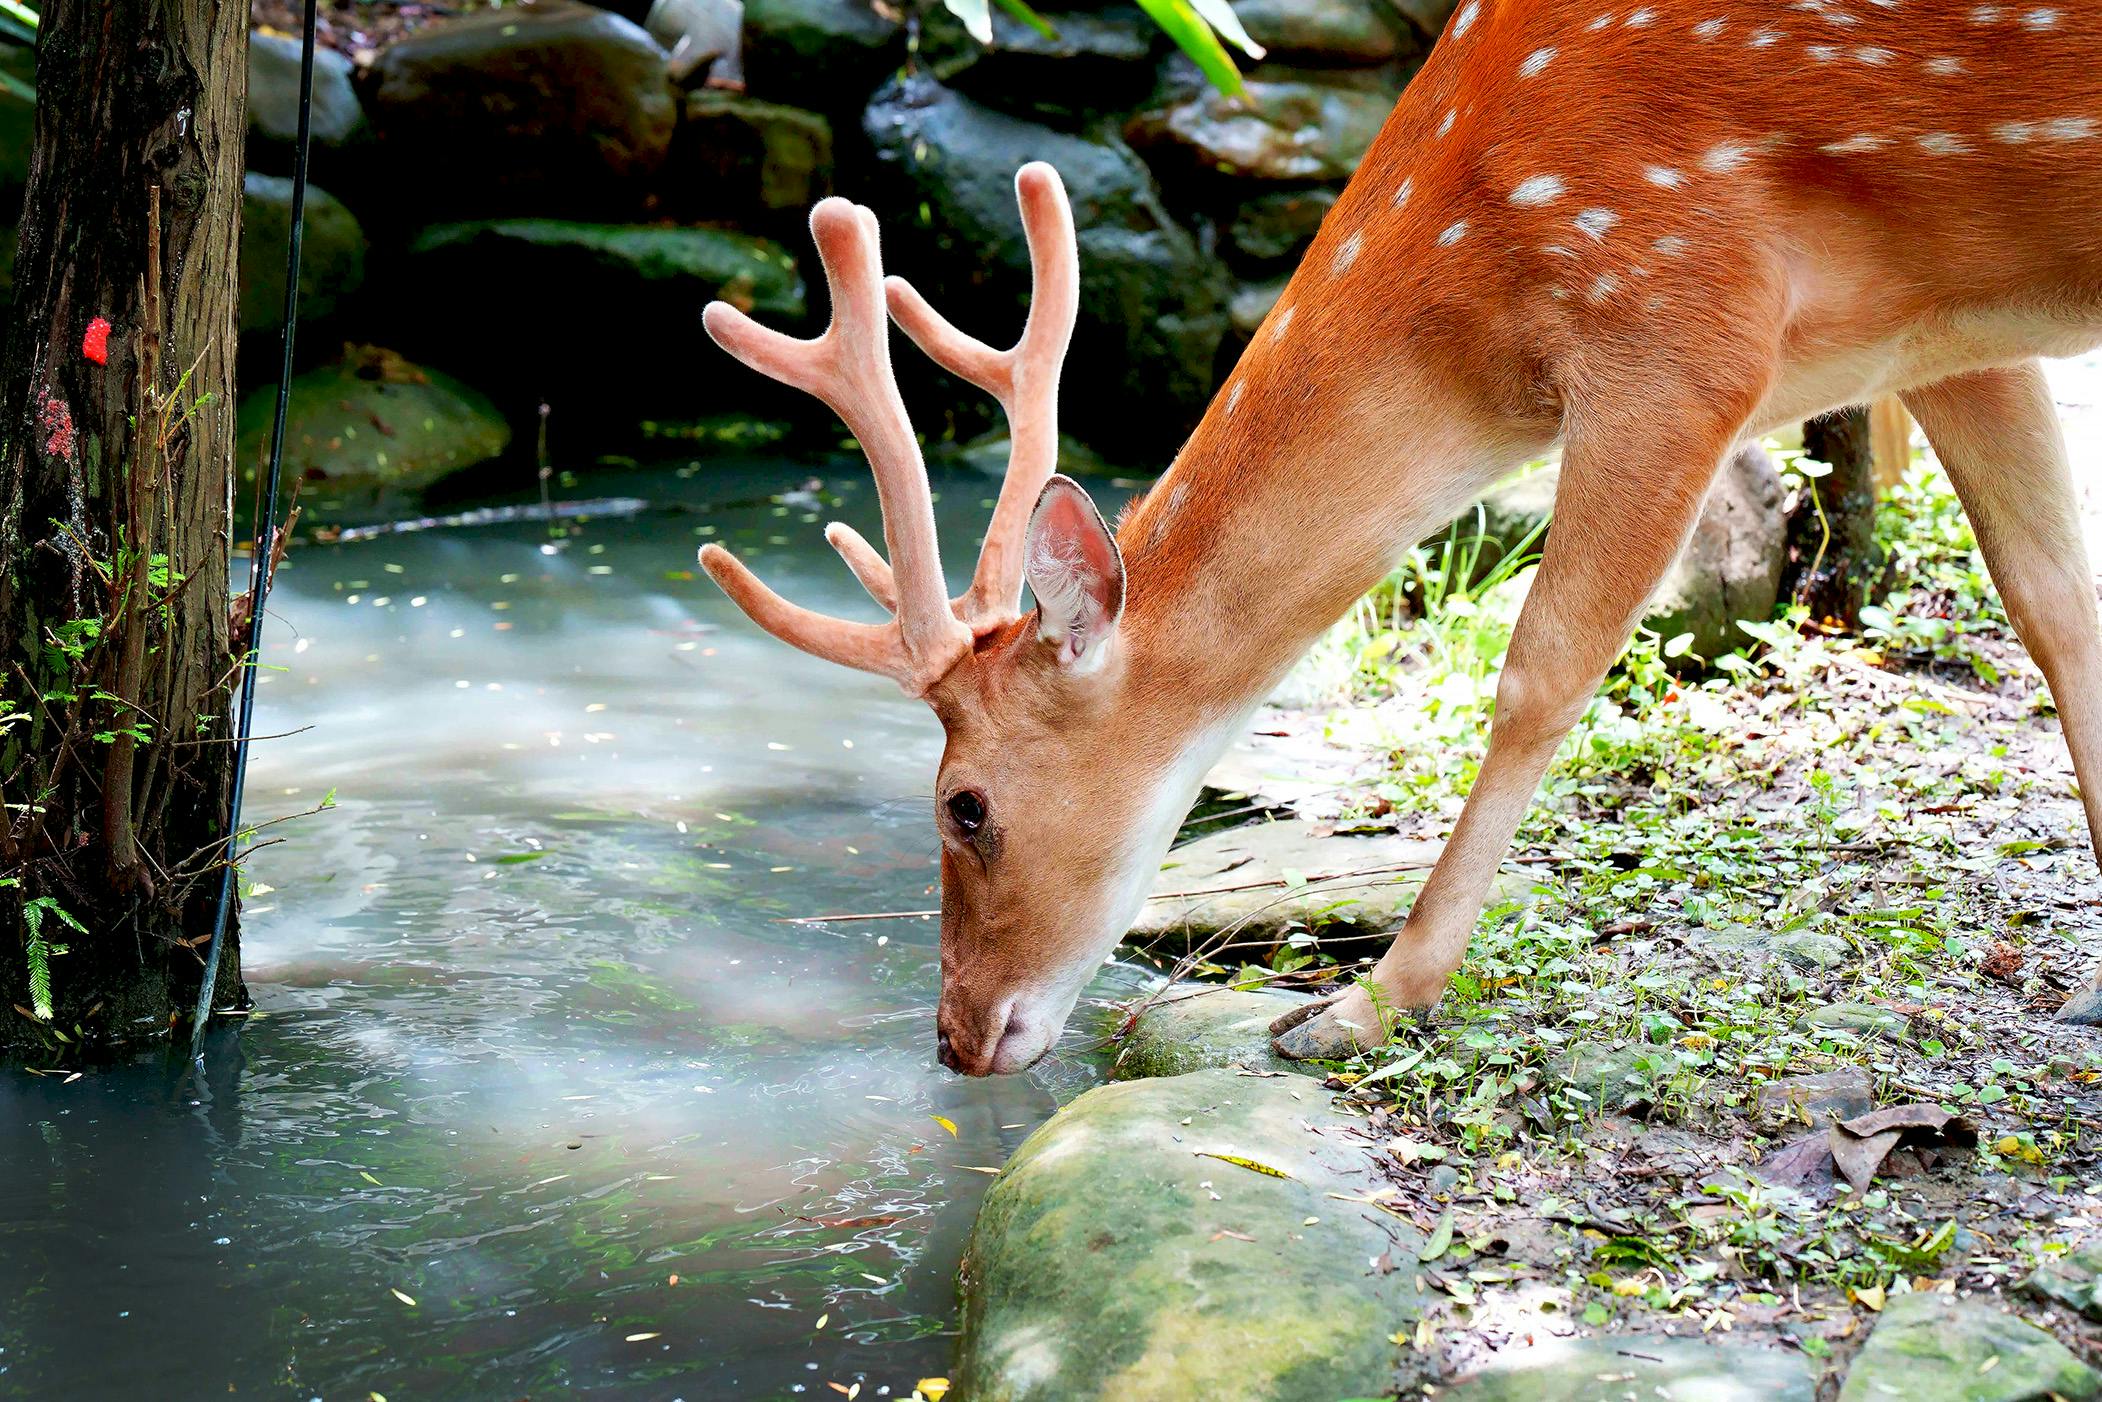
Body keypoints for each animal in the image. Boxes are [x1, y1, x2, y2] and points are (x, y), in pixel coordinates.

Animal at [698, 0, 2102, 1074]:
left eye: (964, 804)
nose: (955, 1038)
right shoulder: (1947, 326)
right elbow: (2054, 605)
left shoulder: (1680, 322)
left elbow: (1538, 670)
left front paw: (1365, 1001)